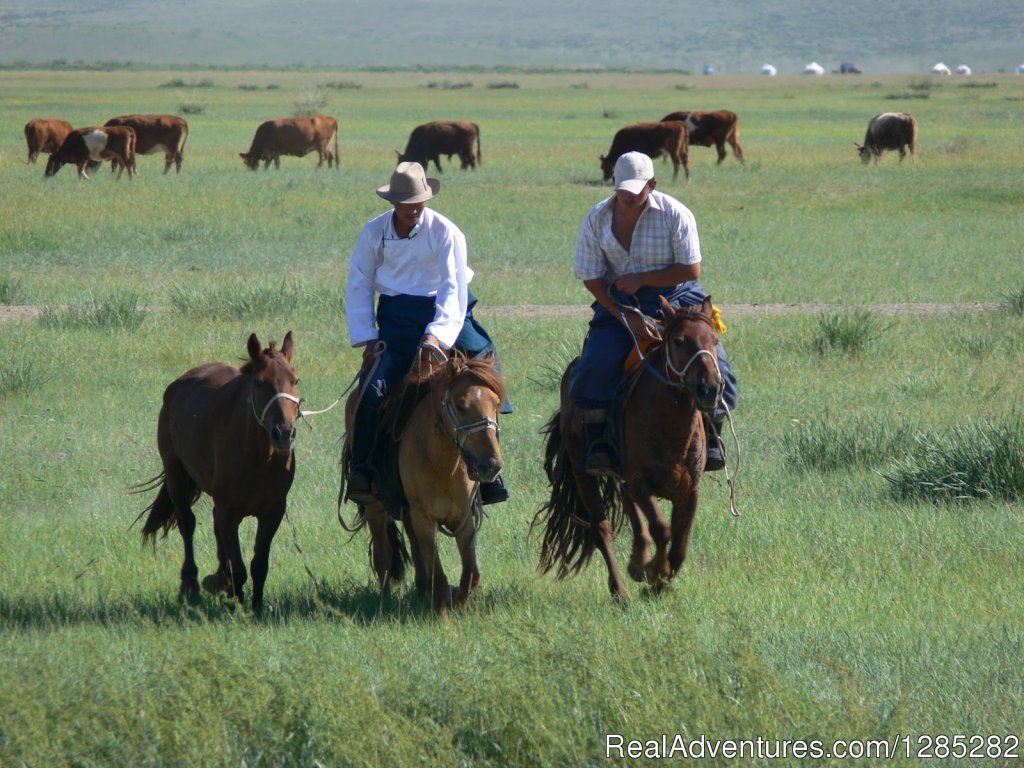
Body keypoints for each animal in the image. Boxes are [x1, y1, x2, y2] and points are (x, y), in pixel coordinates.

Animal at [134, 333, 299, 618]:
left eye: (295, 380)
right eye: (259, 383)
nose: (284, 433)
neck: (259, 458)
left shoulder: (273, 512)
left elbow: (259, 564)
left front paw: (256, 607)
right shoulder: (228, 509)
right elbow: (239, 567)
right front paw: (235, 600)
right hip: (176, 476)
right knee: (187, 524)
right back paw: (190, 585)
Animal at [342, 354, 505, 614]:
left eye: (497, 403)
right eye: (461, 405)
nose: (491, 465)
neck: (443, 465)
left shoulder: (464, 518)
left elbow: (471, 573)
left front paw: (456, 601)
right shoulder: (425, 519)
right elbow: (437, 573)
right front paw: (443, 607)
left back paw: (420, 591)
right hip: (376, 507)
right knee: (382, 556)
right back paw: (386, 602)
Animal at [532, 296, 724, 606]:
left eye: (714, 340)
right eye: (679, 341)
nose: (710, 388)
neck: (668, 422)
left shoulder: (689, 489)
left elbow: (680, 543)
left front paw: (658, 580)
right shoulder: (640, 482)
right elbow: (661, 528)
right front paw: (653, 572)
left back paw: (636, 561)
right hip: (583, 473)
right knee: (601, 529)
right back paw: (621, 588)